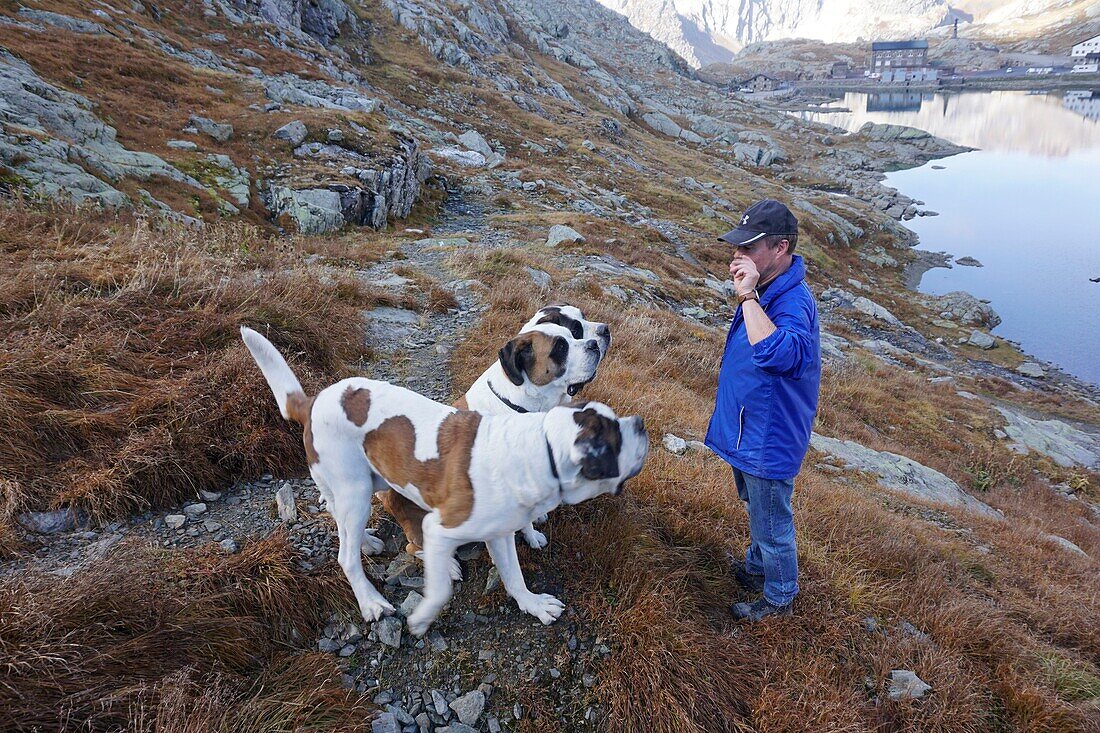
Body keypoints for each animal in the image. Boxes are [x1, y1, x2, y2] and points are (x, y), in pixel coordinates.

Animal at [240, 325, 642, 633]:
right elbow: (440, 588)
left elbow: (513, 573)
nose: (597, 341)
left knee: (340, 516)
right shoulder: (445, 523)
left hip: (369, 482)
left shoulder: (499, 531)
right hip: (357, 489)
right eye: (561, 346)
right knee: (351, 555)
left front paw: (532, 602)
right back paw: (373, 599)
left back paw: (367, 541)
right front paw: (421, 618)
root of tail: (314, 400)